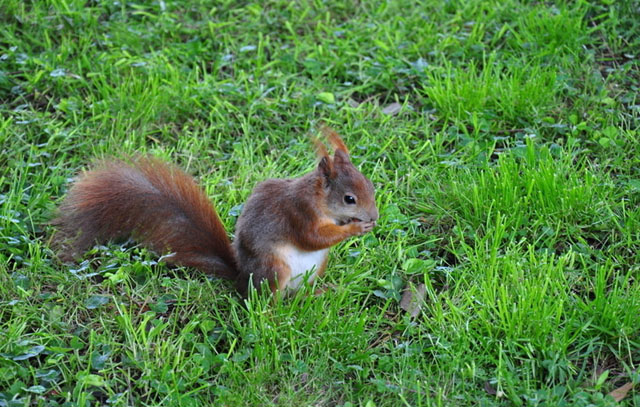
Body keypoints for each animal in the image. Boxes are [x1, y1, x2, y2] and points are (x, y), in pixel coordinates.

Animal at [53, 128, 380, 296]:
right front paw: (354, 228)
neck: (319, 199)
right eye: (349, 198)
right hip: (274, 268)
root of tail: (241, 278)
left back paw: (318, 293)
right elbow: (312, 237)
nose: (374, 217)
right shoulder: (299, 212)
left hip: (315, 268)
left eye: (371, 185)